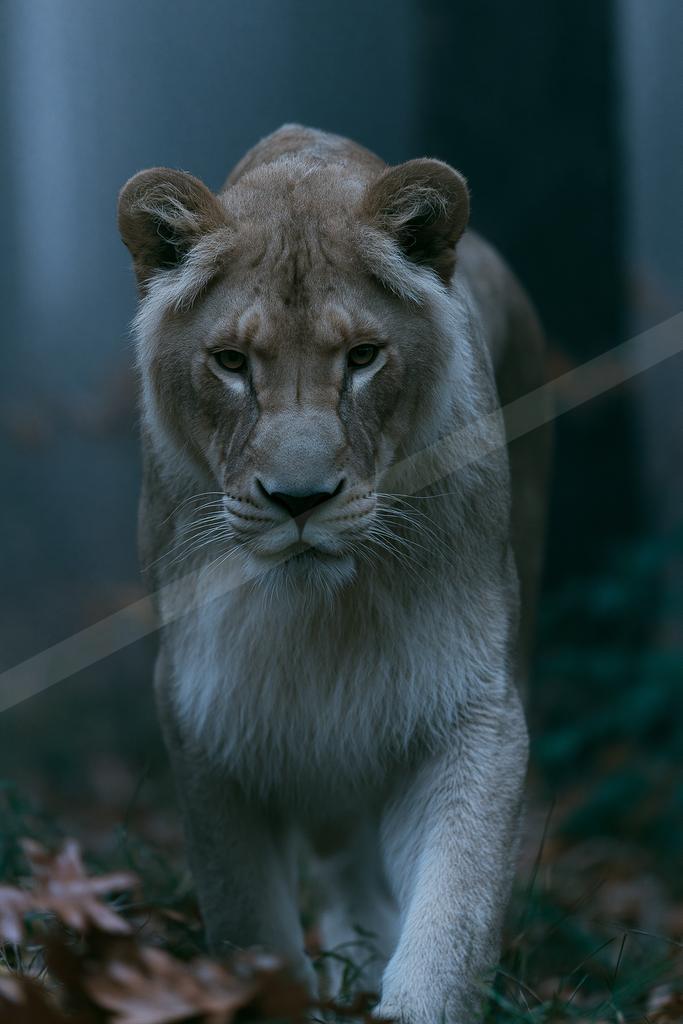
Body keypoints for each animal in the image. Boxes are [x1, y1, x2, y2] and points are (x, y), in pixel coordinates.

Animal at [118, 124, 550, 1022]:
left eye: (361, 357)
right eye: (230, 362)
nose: (299, 499)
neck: (319, 616)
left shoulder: (471, 701)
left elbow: (455, 904)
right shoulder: (206, 709)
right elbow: (245, 915)